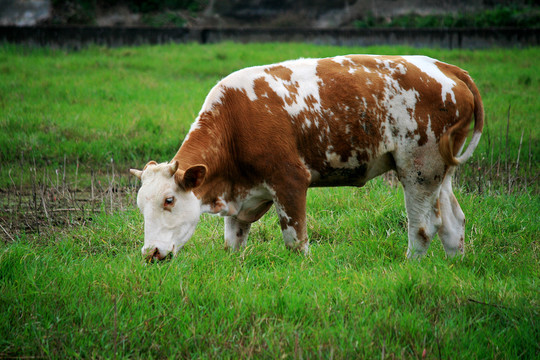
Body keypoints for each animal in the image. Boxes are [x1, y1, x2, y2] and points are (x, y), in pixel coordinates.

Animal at [129, 54, 484, 262]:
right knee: (453, 222)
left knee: (423, 226)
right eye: (140, 206)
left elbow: (295, 242)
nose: (150, 252)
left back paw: (410, 265)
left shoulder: (289, 180)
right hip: (440, 172)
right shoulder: (242, 195)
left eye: (169, 200)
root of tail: (445, 67)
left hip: (419, 168)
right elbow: (233, 243)